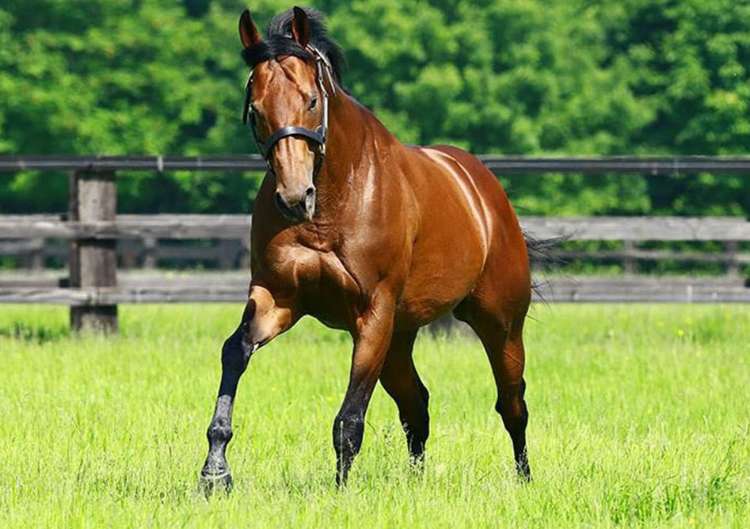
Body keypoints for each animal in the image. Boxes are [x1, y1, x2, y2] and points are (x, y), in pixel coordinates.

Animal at [200, 6, 533, 491]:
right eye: (255, 110)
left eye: (311, 101)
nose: (294, 198)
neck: (333, 204)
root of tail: (484, 190)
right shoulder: (277, 299)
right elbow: (235, 352)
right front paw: (214, 471)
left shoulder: (372, 315)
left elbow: (350, 418)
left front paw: (340, 491)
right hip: (401, 337)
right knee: (417, 404)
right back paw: (416, 480)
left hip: (499, 324)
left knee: (511, 403)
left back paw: (524, 478)